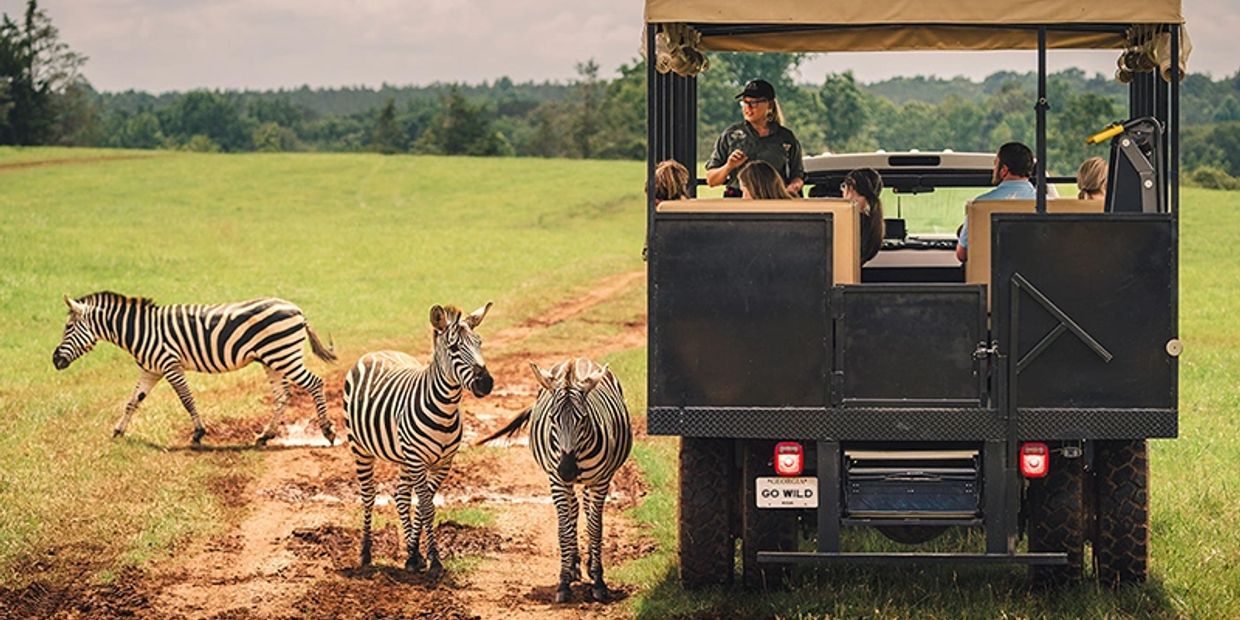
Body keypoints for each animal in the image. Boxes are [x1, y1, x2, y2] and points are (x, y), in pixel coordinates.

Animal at [52, 292, 337, 445]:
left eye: (68, 327)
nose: (55, 360)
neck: (140, 331)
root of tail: (297, 309)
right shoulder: (150, 370)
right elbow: (132, 401)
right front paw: (118, 431)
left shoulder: (170, 365)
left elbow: (186, 399)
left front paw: (199, 433)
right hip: (274, 359)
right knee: (283, 396)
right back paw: (265, 436)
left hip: (284, 355)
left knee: (314, 383)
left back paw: (328, 430)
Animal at [343, 302, 493, 577]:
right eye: (454, 348)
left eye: (479, 343)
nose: (486, 383)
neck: (445, 411)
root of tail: (378, 351)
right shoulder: (417, 460)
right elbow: (426, 507)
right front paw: (434, 559)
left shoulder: (443, 463)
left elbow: (424, 505)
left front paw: (414, 555)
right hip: (361, 448)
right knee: (368, 495)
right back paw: (366, 553)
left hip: (404, 458)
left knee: (401, 495)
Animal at [479, 358, 632, 603]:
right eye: (553, 419)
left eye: (584, 419)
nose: (567, 471)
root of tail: (579, 360)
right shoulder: (556, 481)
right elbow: (564, 529)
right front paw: (563, 581)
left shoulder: (601, 480)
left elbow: (595, 527)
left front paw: (599, 582)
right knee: (574, 508)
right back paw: (573, 565)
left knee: (586, 508)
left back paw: (587, 565)